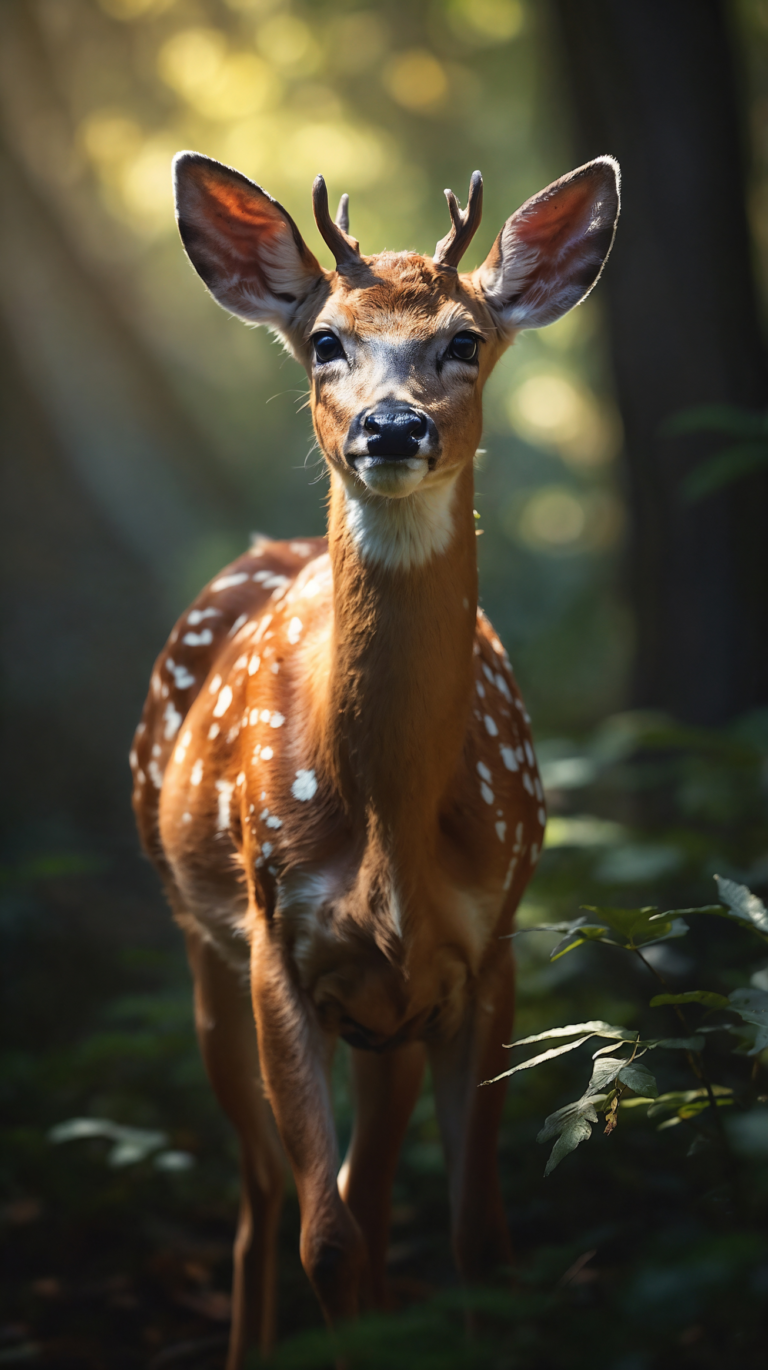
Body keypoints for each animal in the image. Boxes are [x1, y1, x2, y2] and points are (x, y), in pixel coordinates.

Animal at [131, 149, 619, 1366]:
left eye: (466, 339)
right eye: (324, 339)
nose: (392, 428)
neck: (389, 817)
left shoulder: (485, 951)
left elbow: (479, 1238)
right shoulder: (279, 940)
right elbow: (327, 1241)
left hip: (386, 1012)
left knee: (365, 1181)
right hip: (199, 940)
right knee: (267, 1197)